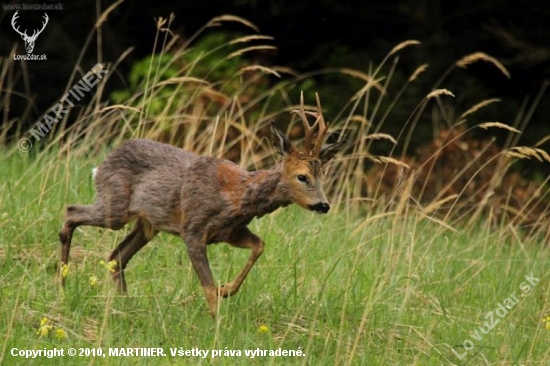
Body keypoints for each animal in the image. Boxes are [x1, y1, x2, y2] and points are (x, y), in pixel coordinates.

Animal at [59, 93, 344, 314]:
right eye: (302, 176)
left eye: (322, 176)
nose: (323, 205)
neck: (236, 197)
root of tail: (101, 165)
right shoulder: (193, 229)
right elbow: (207, 285)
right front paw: (219, 324)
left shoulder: (229, 232)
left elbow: (259, 245)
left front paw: (226, 289)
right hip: (115, 206)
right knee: (71, 212)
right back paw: (62, 283)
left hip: (147, 224)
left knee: (116, 256)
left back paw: (126, 304)